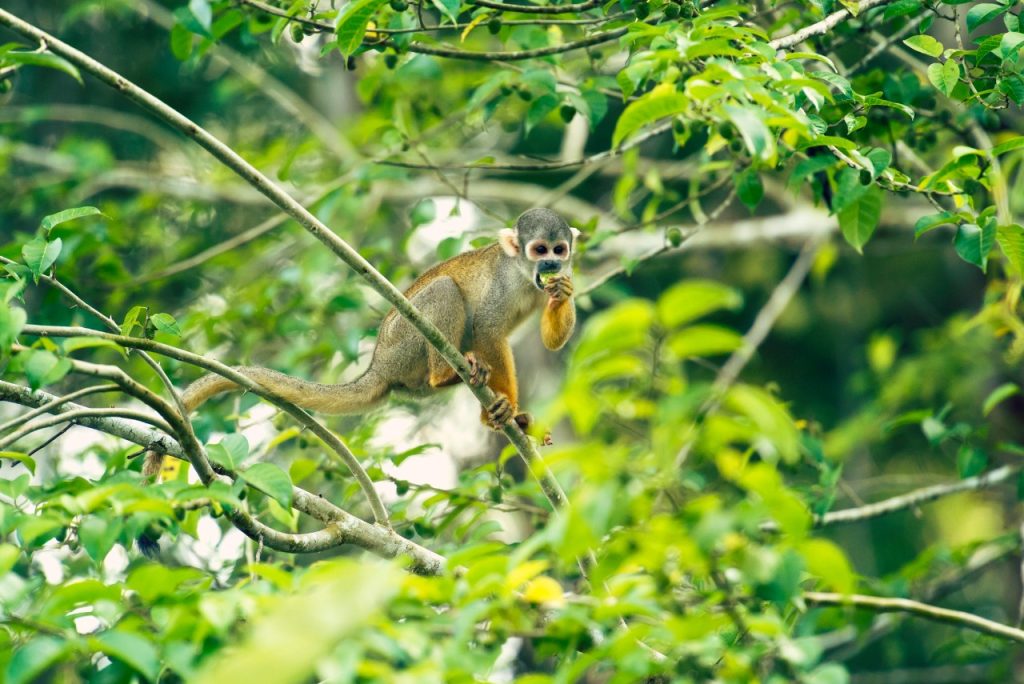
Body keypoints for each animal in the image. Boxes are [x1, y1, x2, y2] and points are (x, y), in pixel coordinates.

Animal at [142, 207, 578, 480]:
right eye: (539, 249)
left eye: (559, 250)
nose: (552, 265)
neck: (524, 276)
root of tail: (378, 367)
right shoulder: (502, 287)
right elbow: (488, 329)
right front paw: (507, 408)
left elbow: (550, 342)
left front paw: (563, 295)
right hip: (404, 342)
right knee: (443, 291)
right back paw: (449, 376)